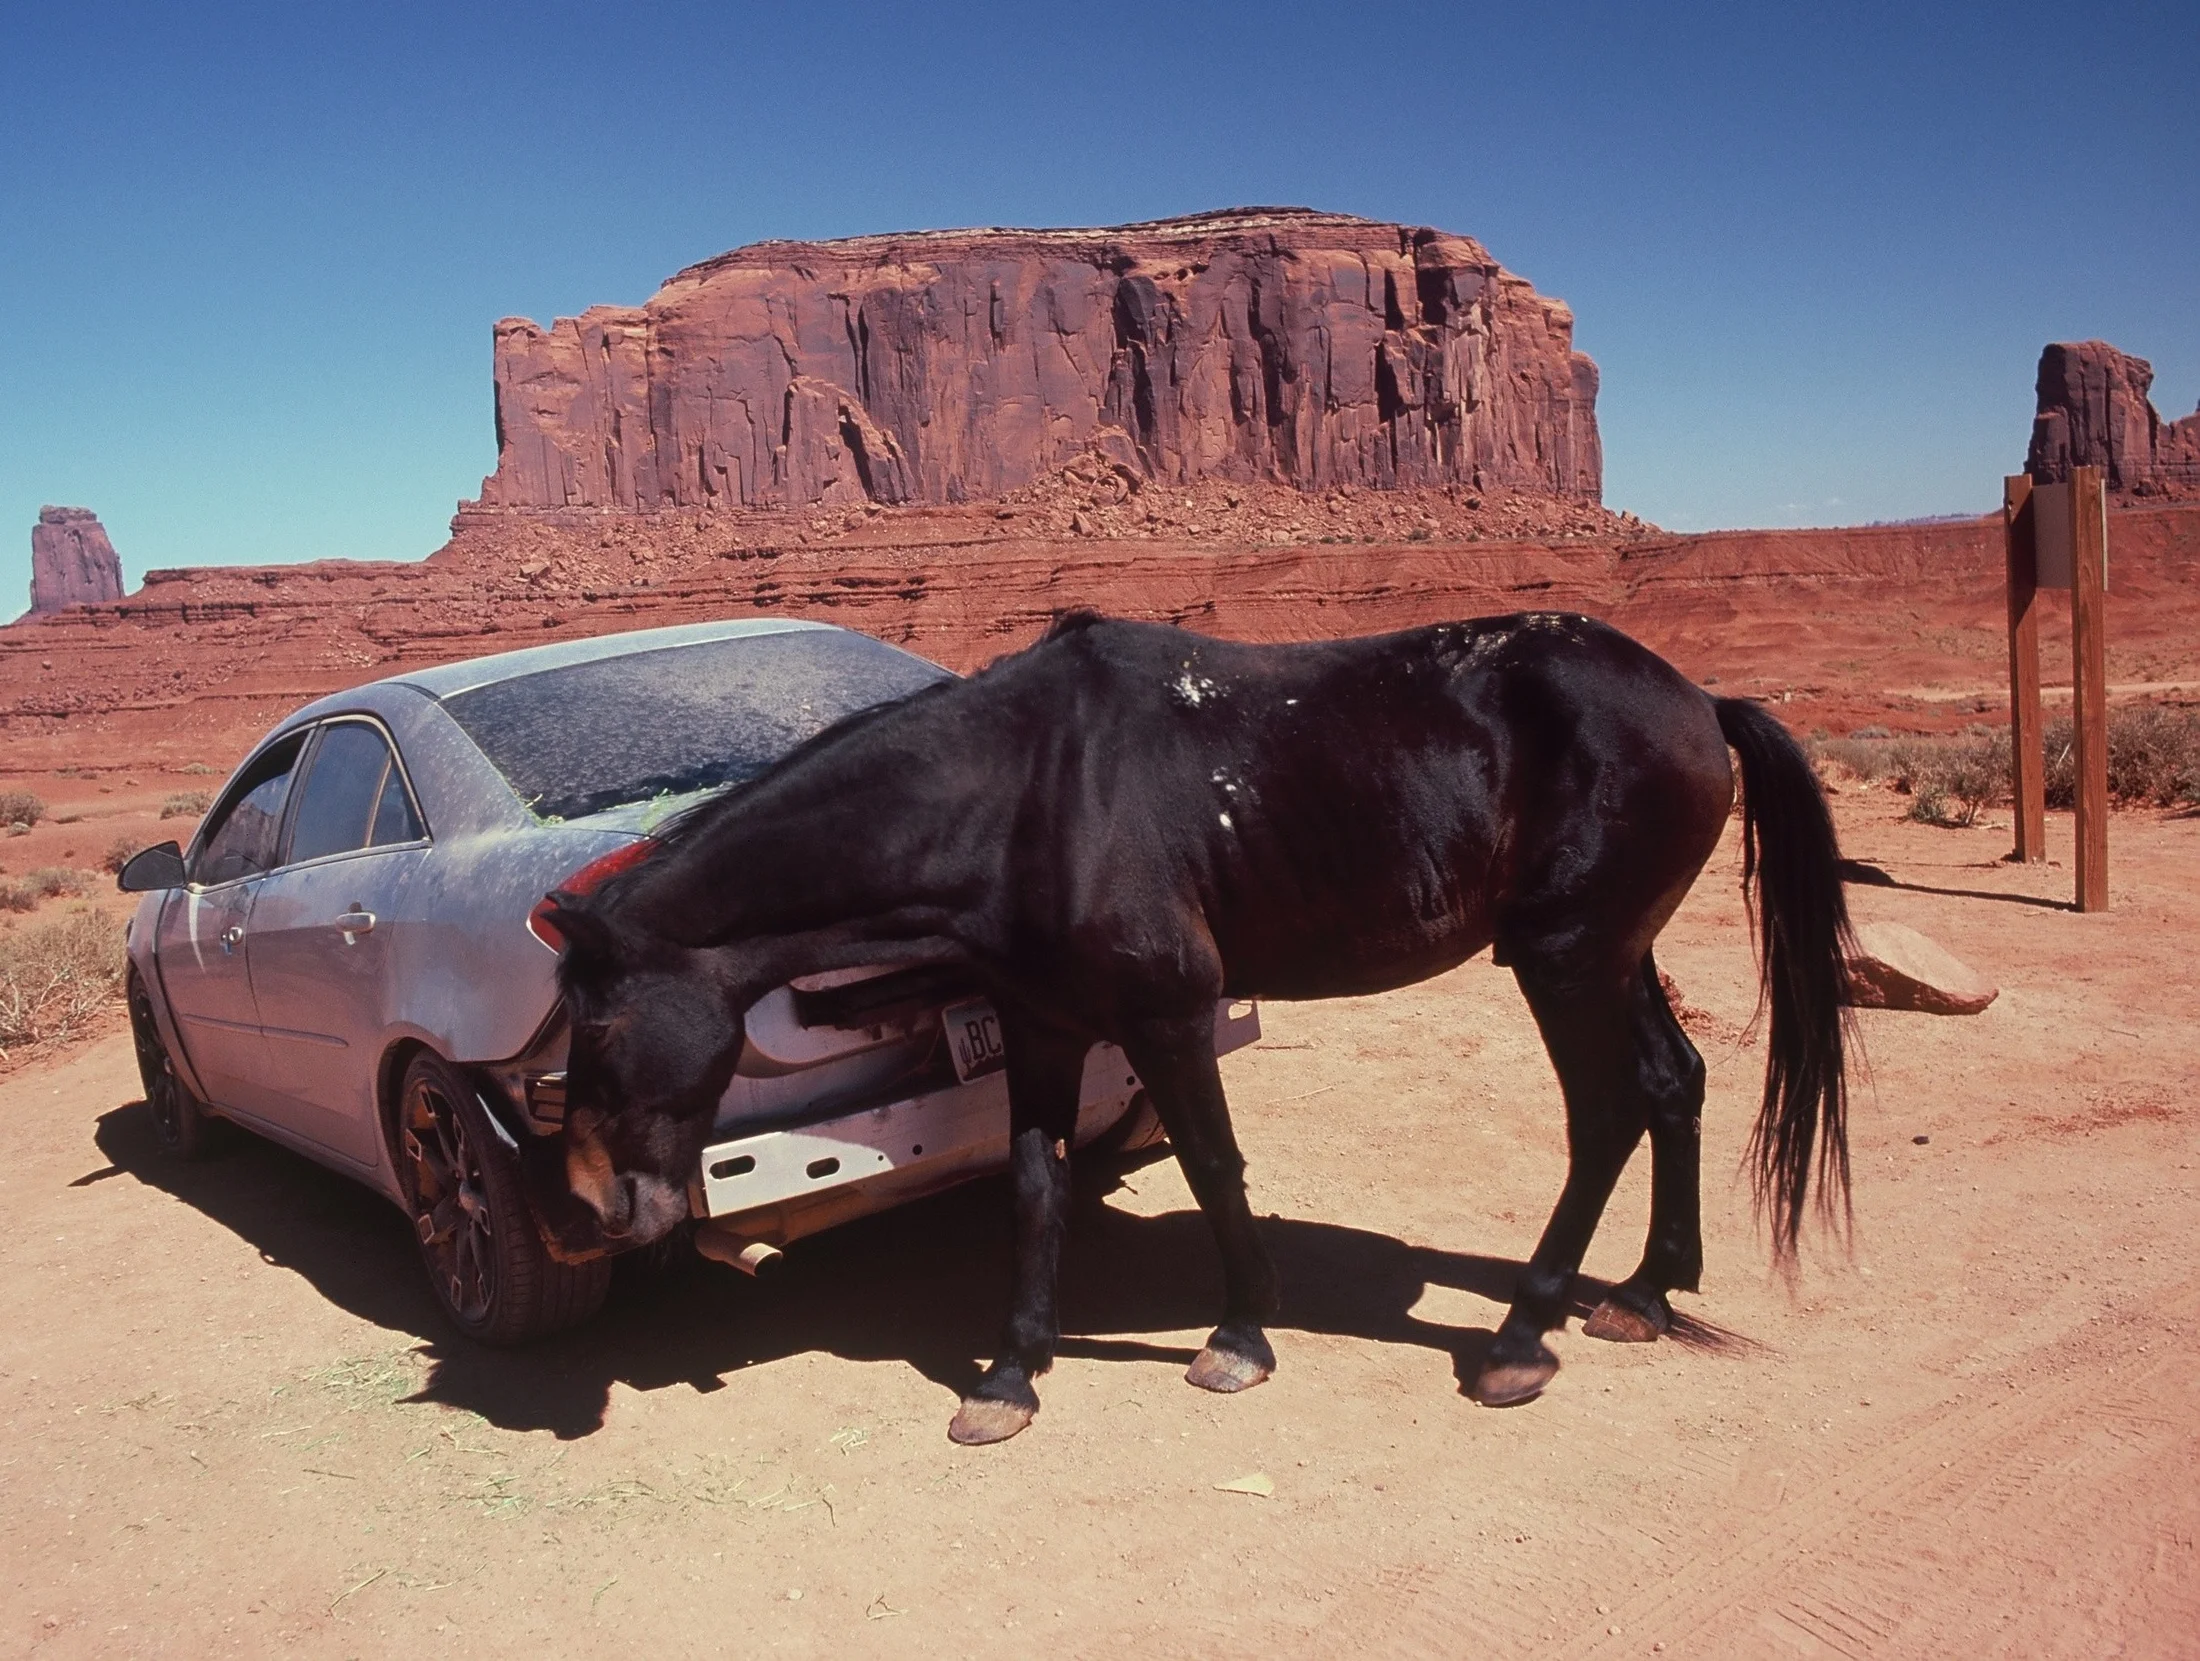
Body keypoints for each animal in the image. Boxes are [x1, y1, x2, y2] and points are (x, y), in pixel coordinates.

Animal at [530, 610, 1854, 1444]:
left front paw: (1240, 1332)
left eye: (595, 1030)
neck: (1022, 795)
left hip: (1565, 959)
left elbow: (1216, 1166)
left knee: (1606, 1114)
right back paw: (1645, 1290)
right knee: (1672, 1081)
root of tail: (1695, 699)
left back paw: (1521, 1336)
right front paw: (1010, 1373)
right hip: (1611, 952)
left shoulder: (1166, 1016)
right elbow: (1034, 1187)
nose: (583, 1210)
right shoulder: (1039, 1027)